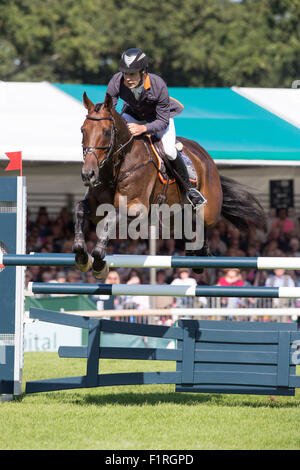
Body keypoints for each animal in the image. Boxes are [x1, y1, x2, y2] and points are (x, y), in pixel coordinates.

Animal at [73, 92, 264, 280]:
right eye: (83, 130)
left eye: (106, 132)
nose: (88, 174)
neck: (117, 166)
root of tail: (205, 156)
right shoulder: (97, 207)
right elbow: (80, 210)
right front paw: (81, 255)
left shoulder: (136, 207)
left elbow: (112, 217)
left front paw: (99, 262)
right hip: (171, 218)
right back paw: (195, 254)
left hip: (208, 209)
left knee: (203, 223)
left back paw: (202, 253)